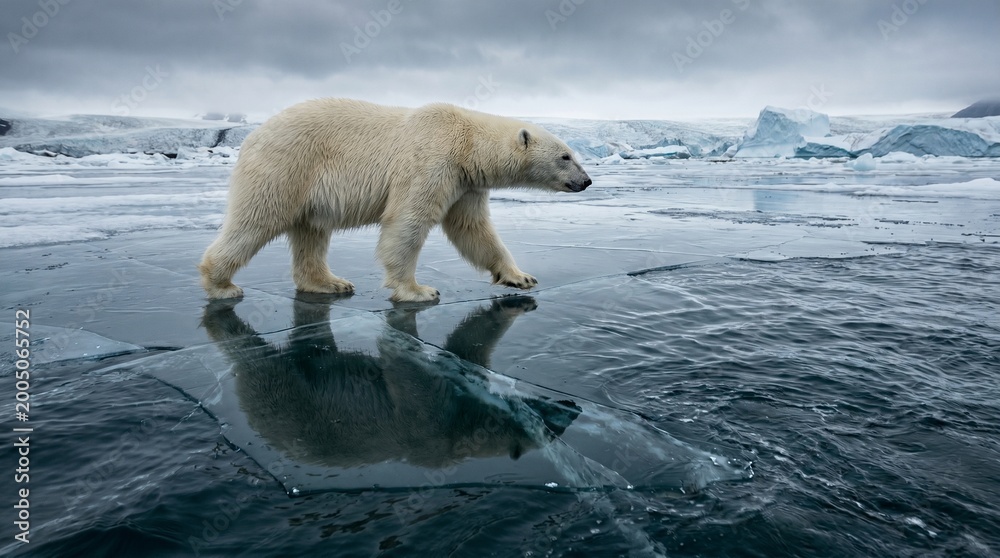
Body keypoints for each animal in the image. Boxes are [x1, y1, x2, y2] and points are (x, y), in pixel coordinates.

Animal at [198, 98, 592, 302]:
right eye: (565, 156)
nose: (586, 181)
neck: (467, 142)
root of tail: (253, 136)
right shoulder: (432, 162)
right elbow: (407, 222)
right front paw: (418, 290)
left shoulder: (465, 183)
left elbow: (473, 229)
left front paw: (519, 276)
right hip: (285, 168)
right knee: (257, 219)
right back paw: (221, 284)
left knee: (312, 231)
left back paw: (330, 282)